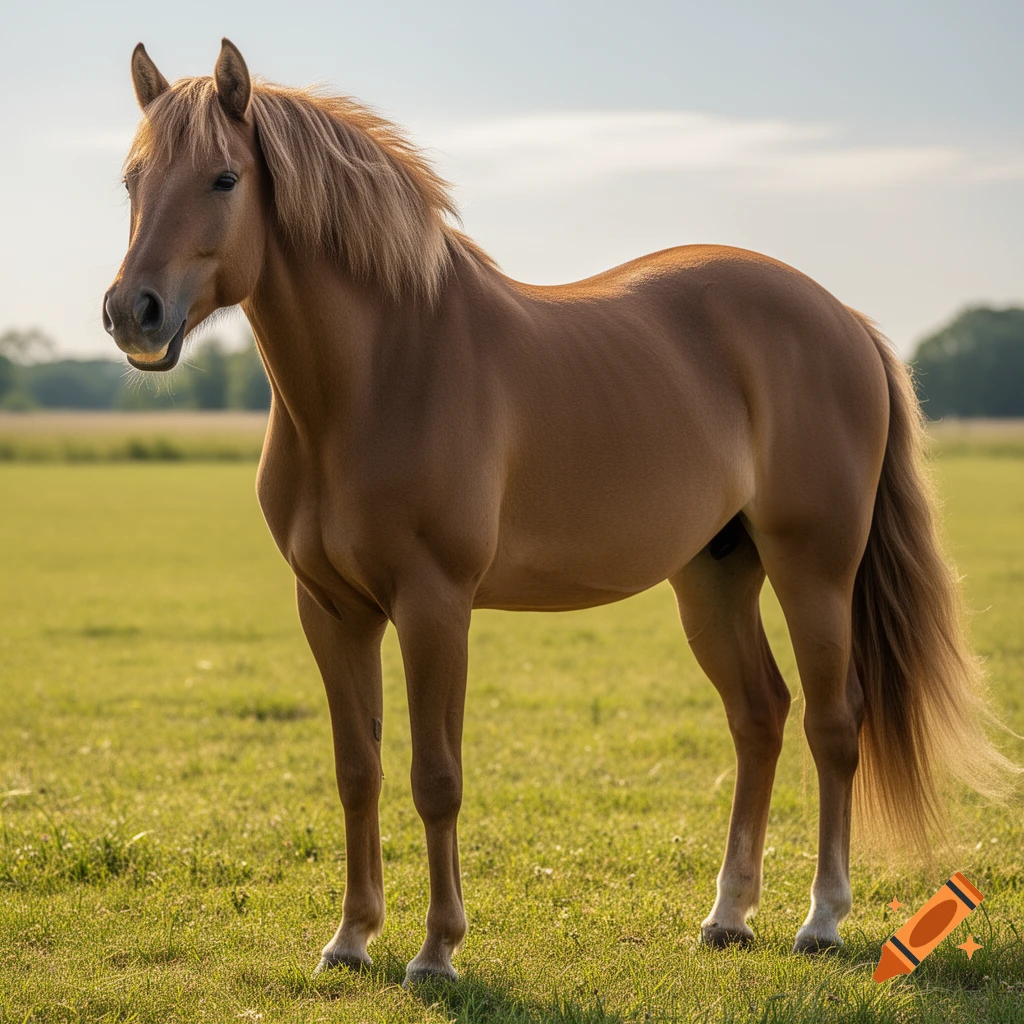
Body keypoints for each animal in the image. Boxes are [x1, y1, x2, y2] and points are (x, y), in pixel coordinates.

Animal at [102, 39, 1017, 984]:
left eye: (223, 178)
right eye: (132, 178)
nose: (133, 313)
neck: (381, 372)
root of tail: (844, 318)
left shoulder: (435, 606)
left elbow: (436, 776)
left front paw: (436, 950)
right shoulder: (330, 609)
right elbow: (358, 770)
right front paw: (351, 939)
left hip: (815, 572)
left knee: (834, 726)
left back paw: (822, 920)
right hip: (714, 577)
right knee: (759, 716)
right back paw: (728, 915)